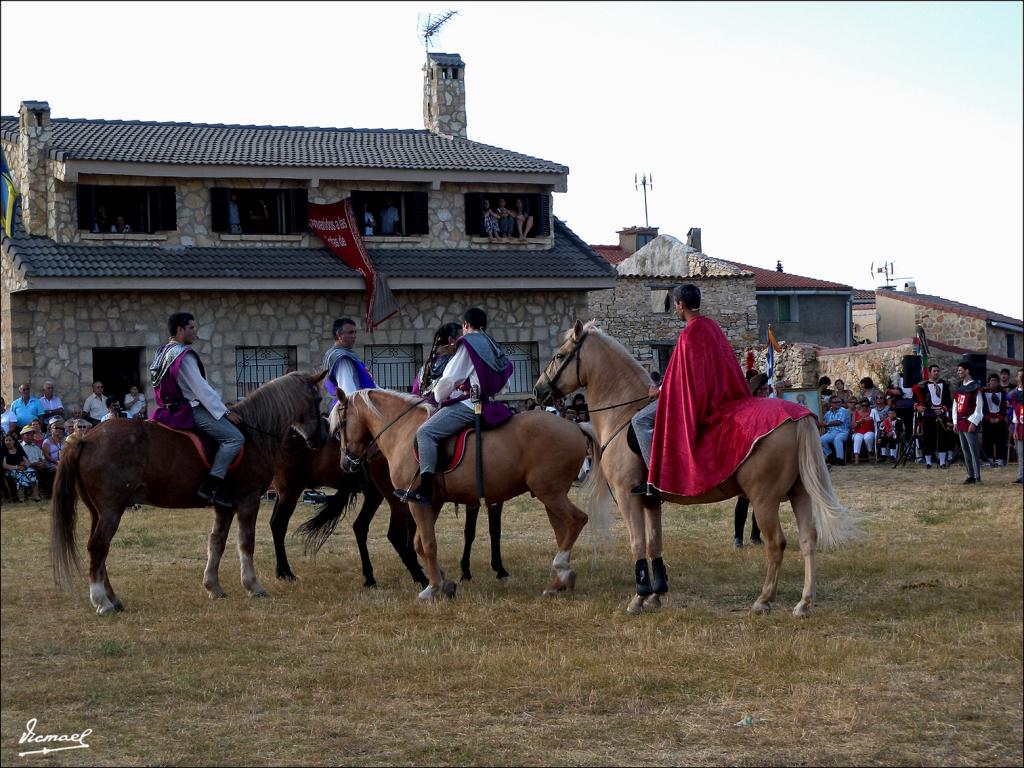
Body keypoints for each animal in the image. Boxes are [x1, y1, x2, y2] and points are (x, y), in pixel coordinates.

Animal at [49, 370, 325, 618]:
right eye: (319, 398)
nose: (320, 438)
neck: (253, 433)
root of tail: (85, 438)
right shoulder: (248, 499)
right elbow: (246, 543)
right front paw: (253, 586)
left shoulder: (224, 506)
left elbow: (216, 542)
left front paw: (213, 587)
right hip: (111, 510)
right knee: (98, 547)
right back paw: (102, 602)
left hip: (97, 511)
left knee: (100, 551)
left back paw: (113, 599)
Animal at [331, 391, 593, 602]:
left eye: (341, 425)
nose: (345, 463)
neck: (404, 430)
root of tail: (574, 426)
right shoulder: (432, 502)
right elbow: (419, 543)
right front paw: (443, 580)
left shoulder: (417, 502)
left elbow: (428, 543)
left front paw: (433, 587)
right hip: (551, 495)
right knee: (563, 531)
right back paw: (558, 582)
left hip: (549, 492)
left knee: (577, 520)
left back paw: (562, 570)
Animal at [532, 319, 860, 618]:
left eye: (560, 355)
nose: (538, 390)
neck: (623, 415)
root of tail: (798, 416)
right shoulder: (651, 501)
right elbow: (654, 544)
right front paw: (657, 595)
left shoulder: (628, 498)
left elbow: (637, 544)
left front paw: (639, 598)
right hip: (798, 493)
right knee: (808, 540)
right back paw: (804, 603)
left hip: (764, 500)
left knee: (776, 543)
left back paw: (764, 600)